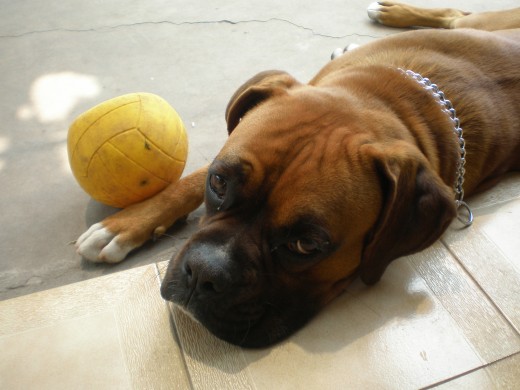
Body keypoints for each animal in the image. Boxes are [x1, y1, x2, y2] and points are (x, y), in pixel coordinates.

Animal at [75, 3, 520, 348]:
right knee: (457, 15)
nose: (203, 273)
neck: (395, 99)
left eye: (306, 245)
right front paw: (123, 226)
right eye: (218, 183)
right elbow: (185, 181)